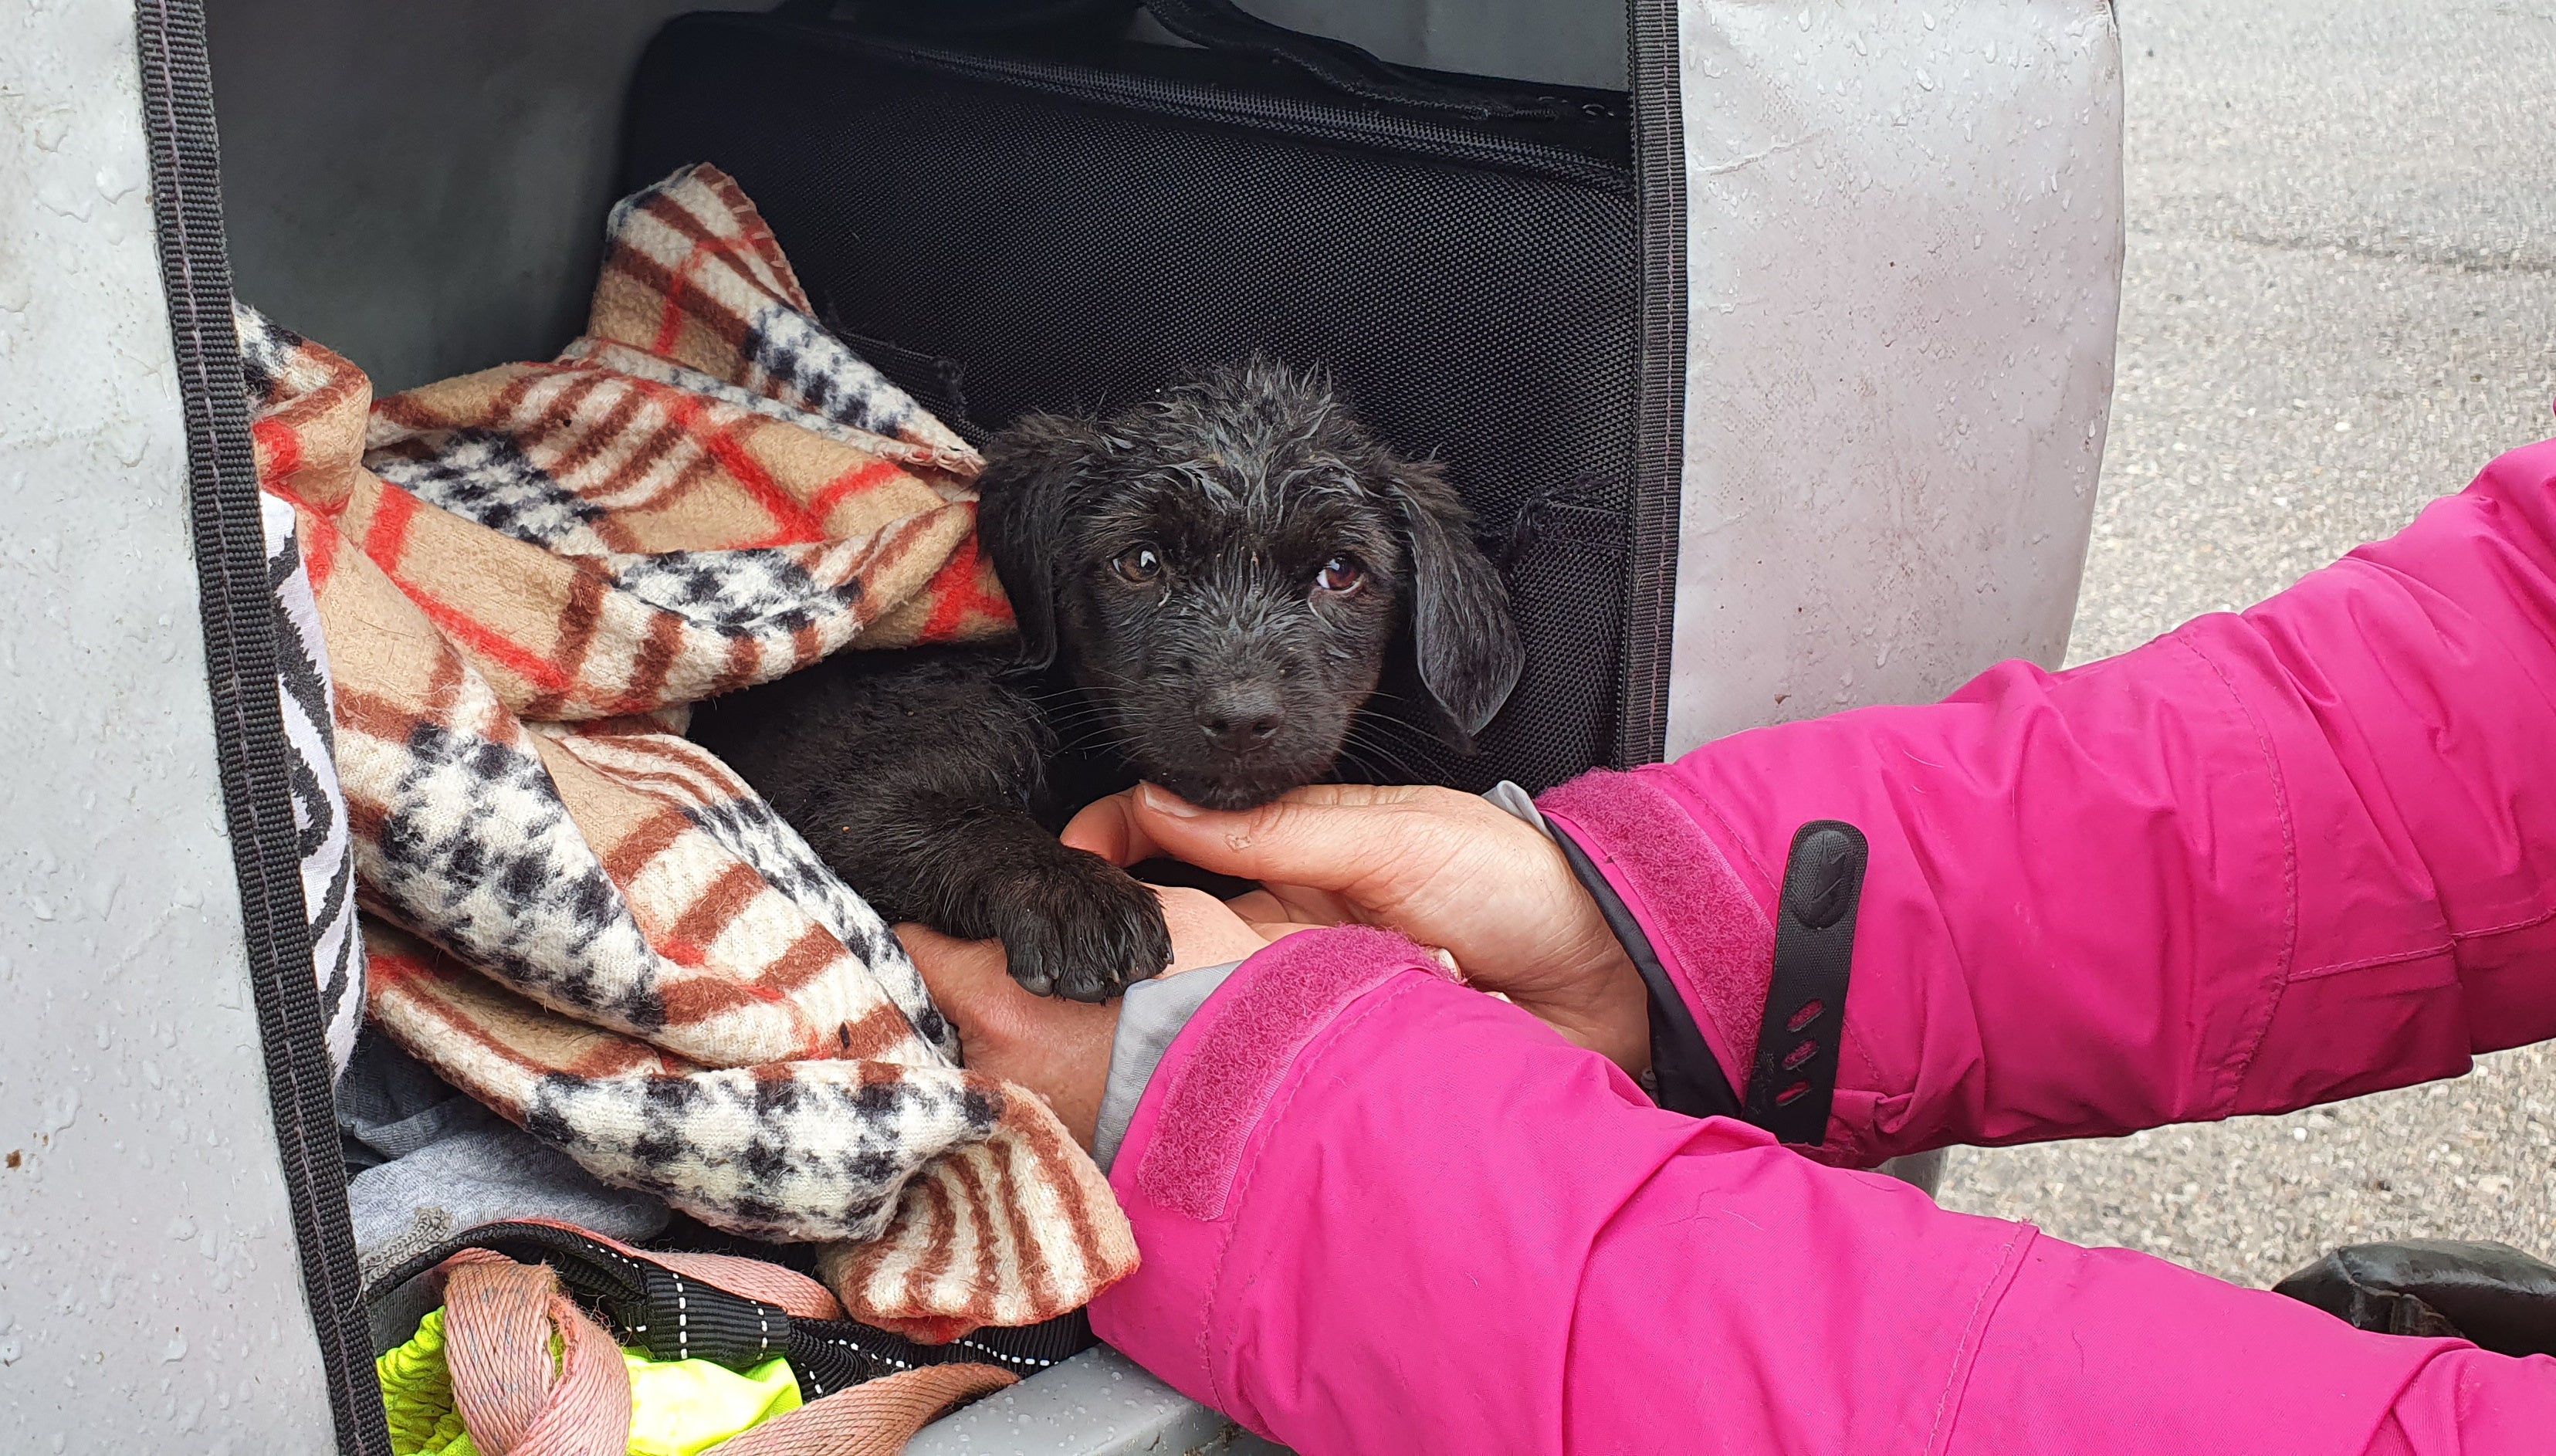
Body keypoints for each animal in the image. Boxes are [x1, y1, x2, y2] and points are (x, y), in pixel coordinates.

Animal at [689, 360, 1513, 996]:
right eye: (1140, 563)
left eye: (1340, 572)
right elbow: (957, 820)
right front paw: (1074, 895)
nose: (1240, 718)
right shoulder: (857, 789)